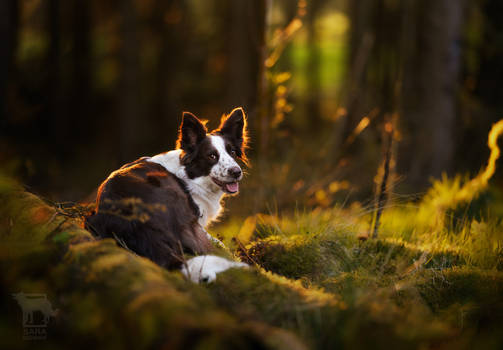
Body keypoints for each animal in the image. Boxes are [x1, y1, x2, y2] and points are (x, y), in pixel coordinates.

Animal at [87, 106, 252, 282]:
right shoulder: (196, 221)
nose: (236, 172)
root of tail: (138, 221)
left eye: (232, 152)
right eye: (211, 156)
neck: (189, 175)